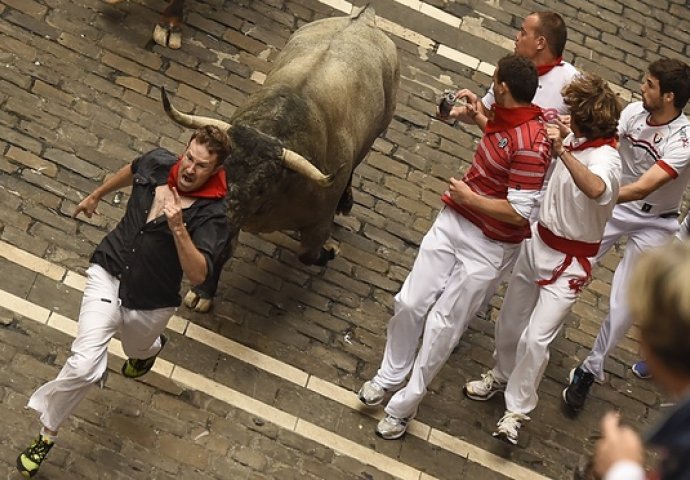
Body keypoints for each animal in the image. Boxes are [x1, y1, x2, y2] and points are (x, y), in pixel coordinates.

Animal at [161, 5, 398, 314]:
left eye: (261, 187)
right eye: (220, 172)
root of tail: (365, 17)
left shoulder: (317, 222)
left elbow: (308, 253)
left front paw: (329, 251)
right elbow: (223, 250)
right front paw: (203, 292)